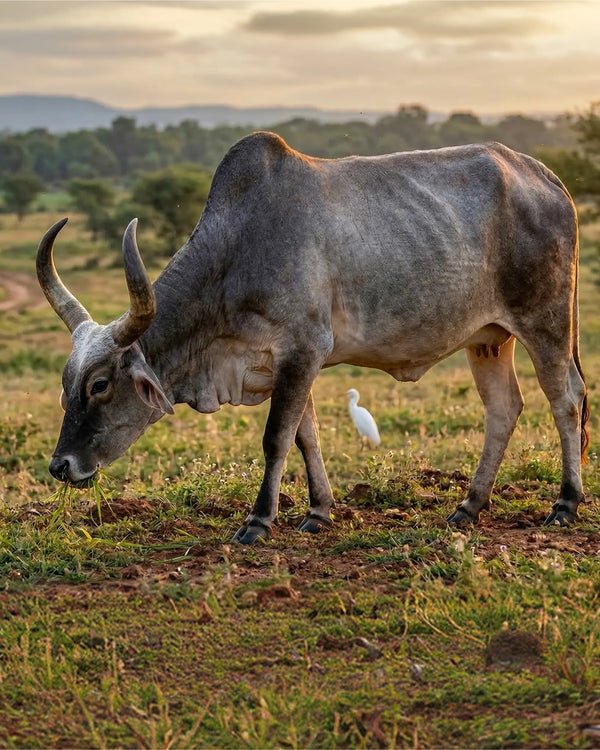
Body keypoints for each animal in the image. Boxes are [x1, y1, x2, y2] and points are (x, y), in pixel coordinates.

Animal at [36, 132, 589, 543]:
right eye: (66, 385)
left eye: (100, 385)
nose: (61, 466)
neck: (235, 252)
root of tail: (542, 175)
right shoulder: (282, 362)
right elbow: (307, 436)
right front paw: (319, 512)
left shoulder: (302, 351)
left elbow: (277, 437)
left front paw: (258, 521)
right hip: (488, 338)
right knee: (504, 408)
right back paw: (469, 507)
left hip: (545, 321)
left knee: (566, 399)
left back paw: (565, 503)